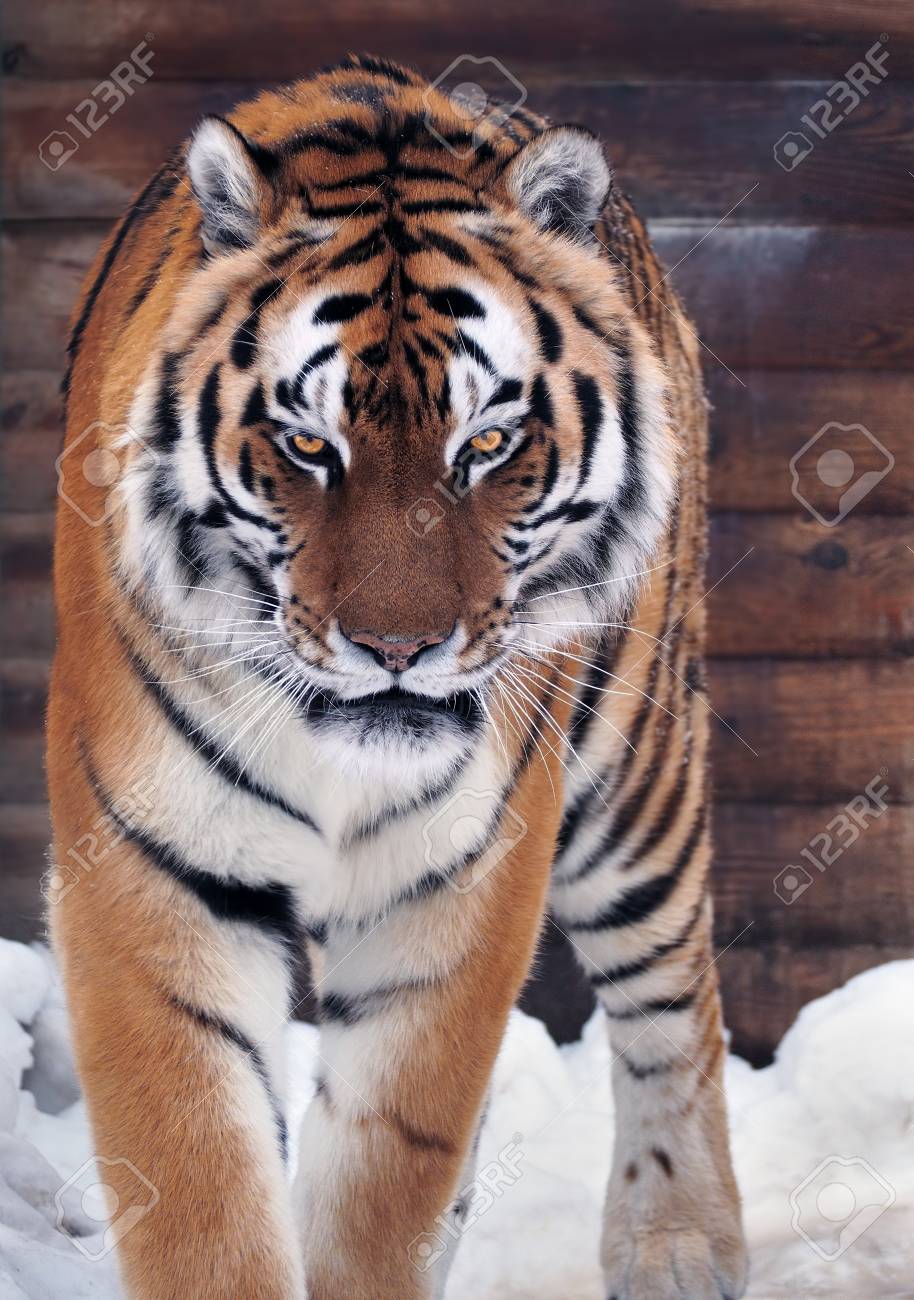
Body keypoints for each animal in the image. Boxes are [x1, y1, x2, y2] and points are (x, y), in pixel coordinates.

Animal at [47, 53, 748, 1300]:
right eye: (306, 446)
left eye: (487, 444)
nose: (397, 649)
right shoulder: (148, 861)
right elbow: (199, 1184)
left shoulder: (459, 880)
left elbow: (384, 1177)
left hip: (633, 767)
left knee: (670, 987)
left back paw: (677, 1244)